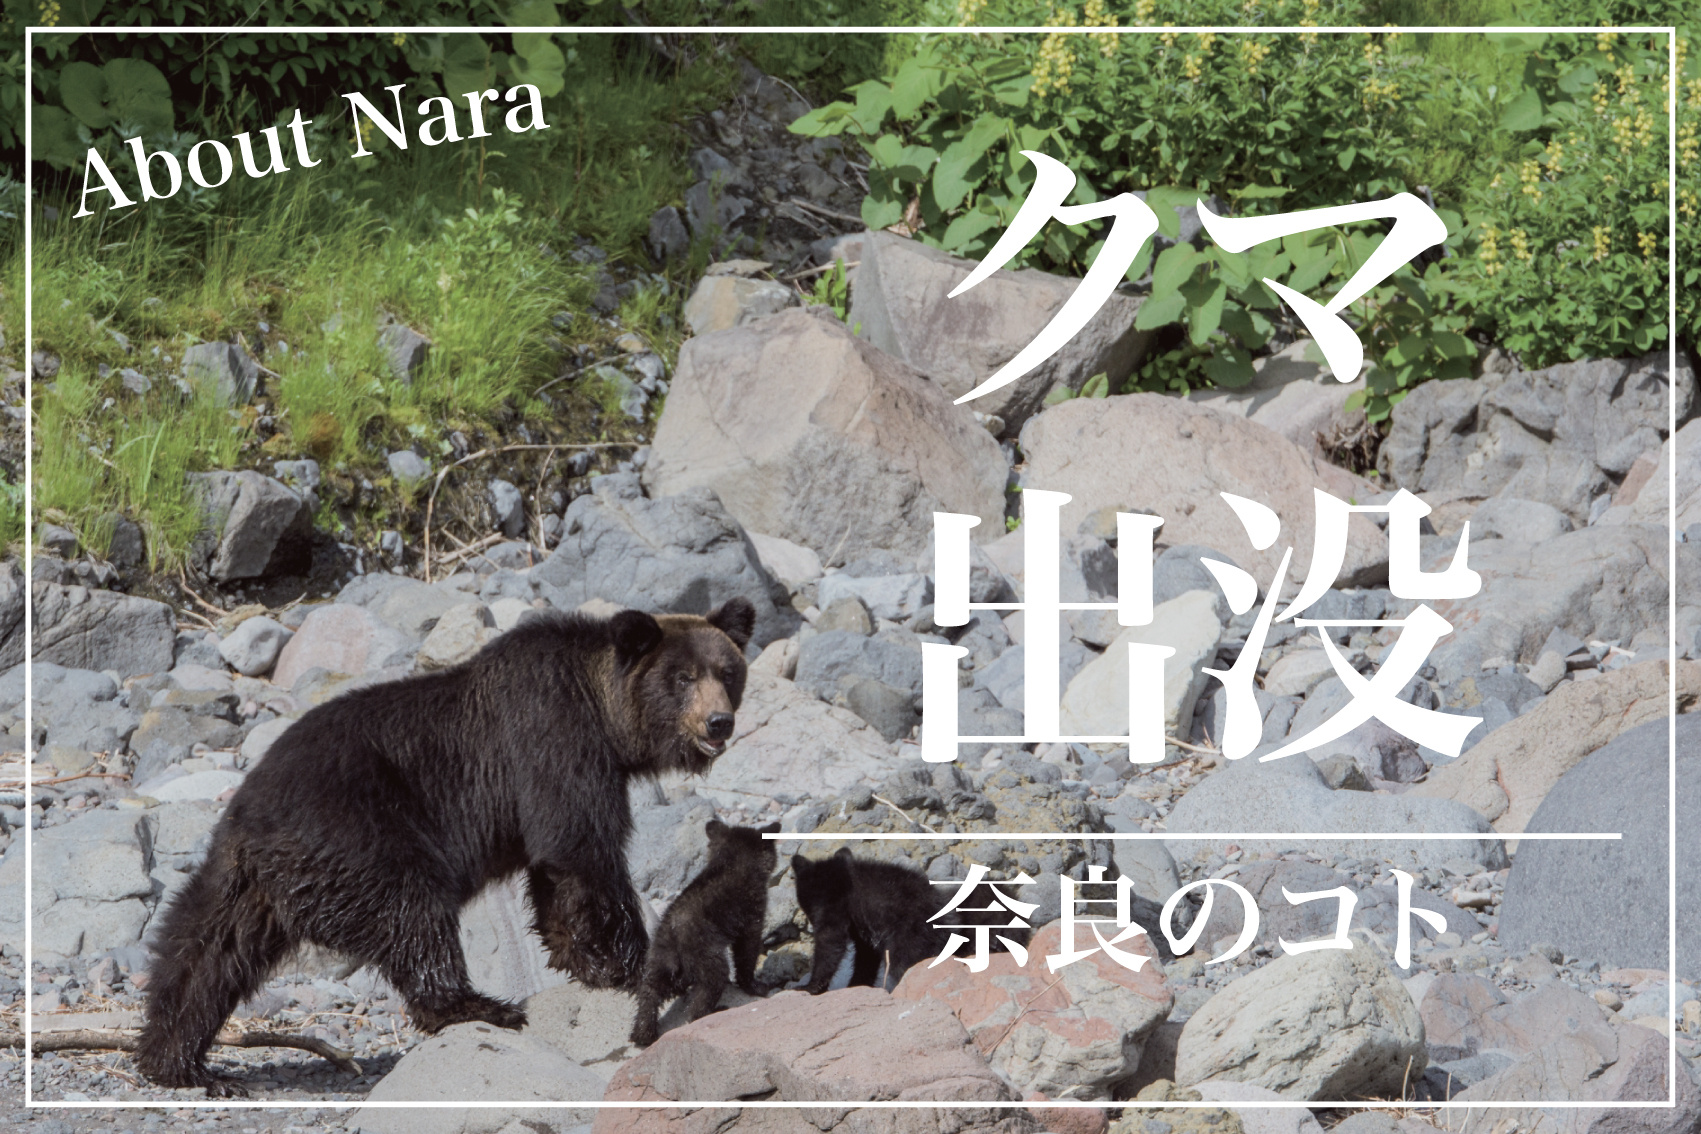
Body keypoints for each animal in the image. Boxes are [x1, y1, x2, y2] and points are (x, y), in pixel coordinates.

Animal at [134, 597, 755, 1096]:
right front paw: (631, 963)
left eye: (728, 671)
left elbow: (556, 876)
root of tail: (254, 818)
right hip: (361, 835)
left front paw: (584, 961)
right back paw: (479, 1006)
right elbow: (582, 849)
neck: (606, 718)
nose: (719, 722)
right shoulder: (552, 736)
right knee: (414, 911)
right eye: (682, 676)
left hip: (242, 879)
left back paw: (177, 1059)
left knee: (200, 952)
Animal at [629, 819, 779, 1047]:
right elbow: (747, 949)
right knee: (711, 981)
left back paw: (643, 1033)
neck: (733, 859)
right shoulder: (752, 909)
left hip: (657, 956)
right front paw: (755, 985)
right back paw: (712, 1010)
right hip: (704, 951)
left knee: (650, 989)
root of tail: (673, 935)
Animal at [792, 848, 1028, 993]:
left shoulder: (834, 907)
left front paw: (810, 986)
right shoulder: (864, 931)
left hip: (911, 936)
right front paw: (857, 985)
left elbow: (830, 941)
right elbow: (865, 959)